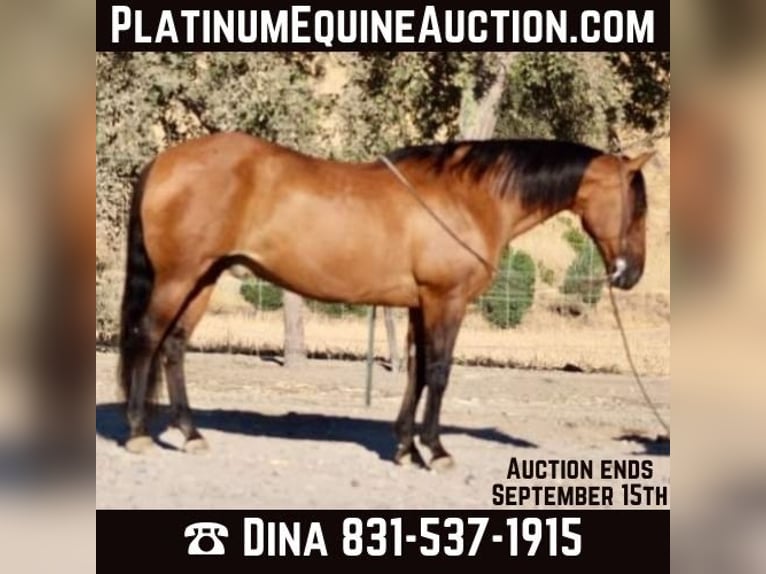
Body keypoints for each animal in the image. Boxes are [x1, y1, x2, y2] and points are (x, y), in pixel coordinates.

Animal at [118, 133, 653, 469]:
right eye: (638, 208)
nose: (631, 275)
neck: (468, 198)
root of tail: (164, 162)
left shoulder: (420, 304)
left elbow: (416, 372)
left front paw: (405, 449)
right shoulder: (446, 301)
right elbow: (438, 372)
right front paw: (436, 451)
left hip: (202, 278)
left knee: (174, 346)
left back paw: (191, 435)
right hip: (179, 277)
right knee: (148, 338)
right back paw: (140, 433)